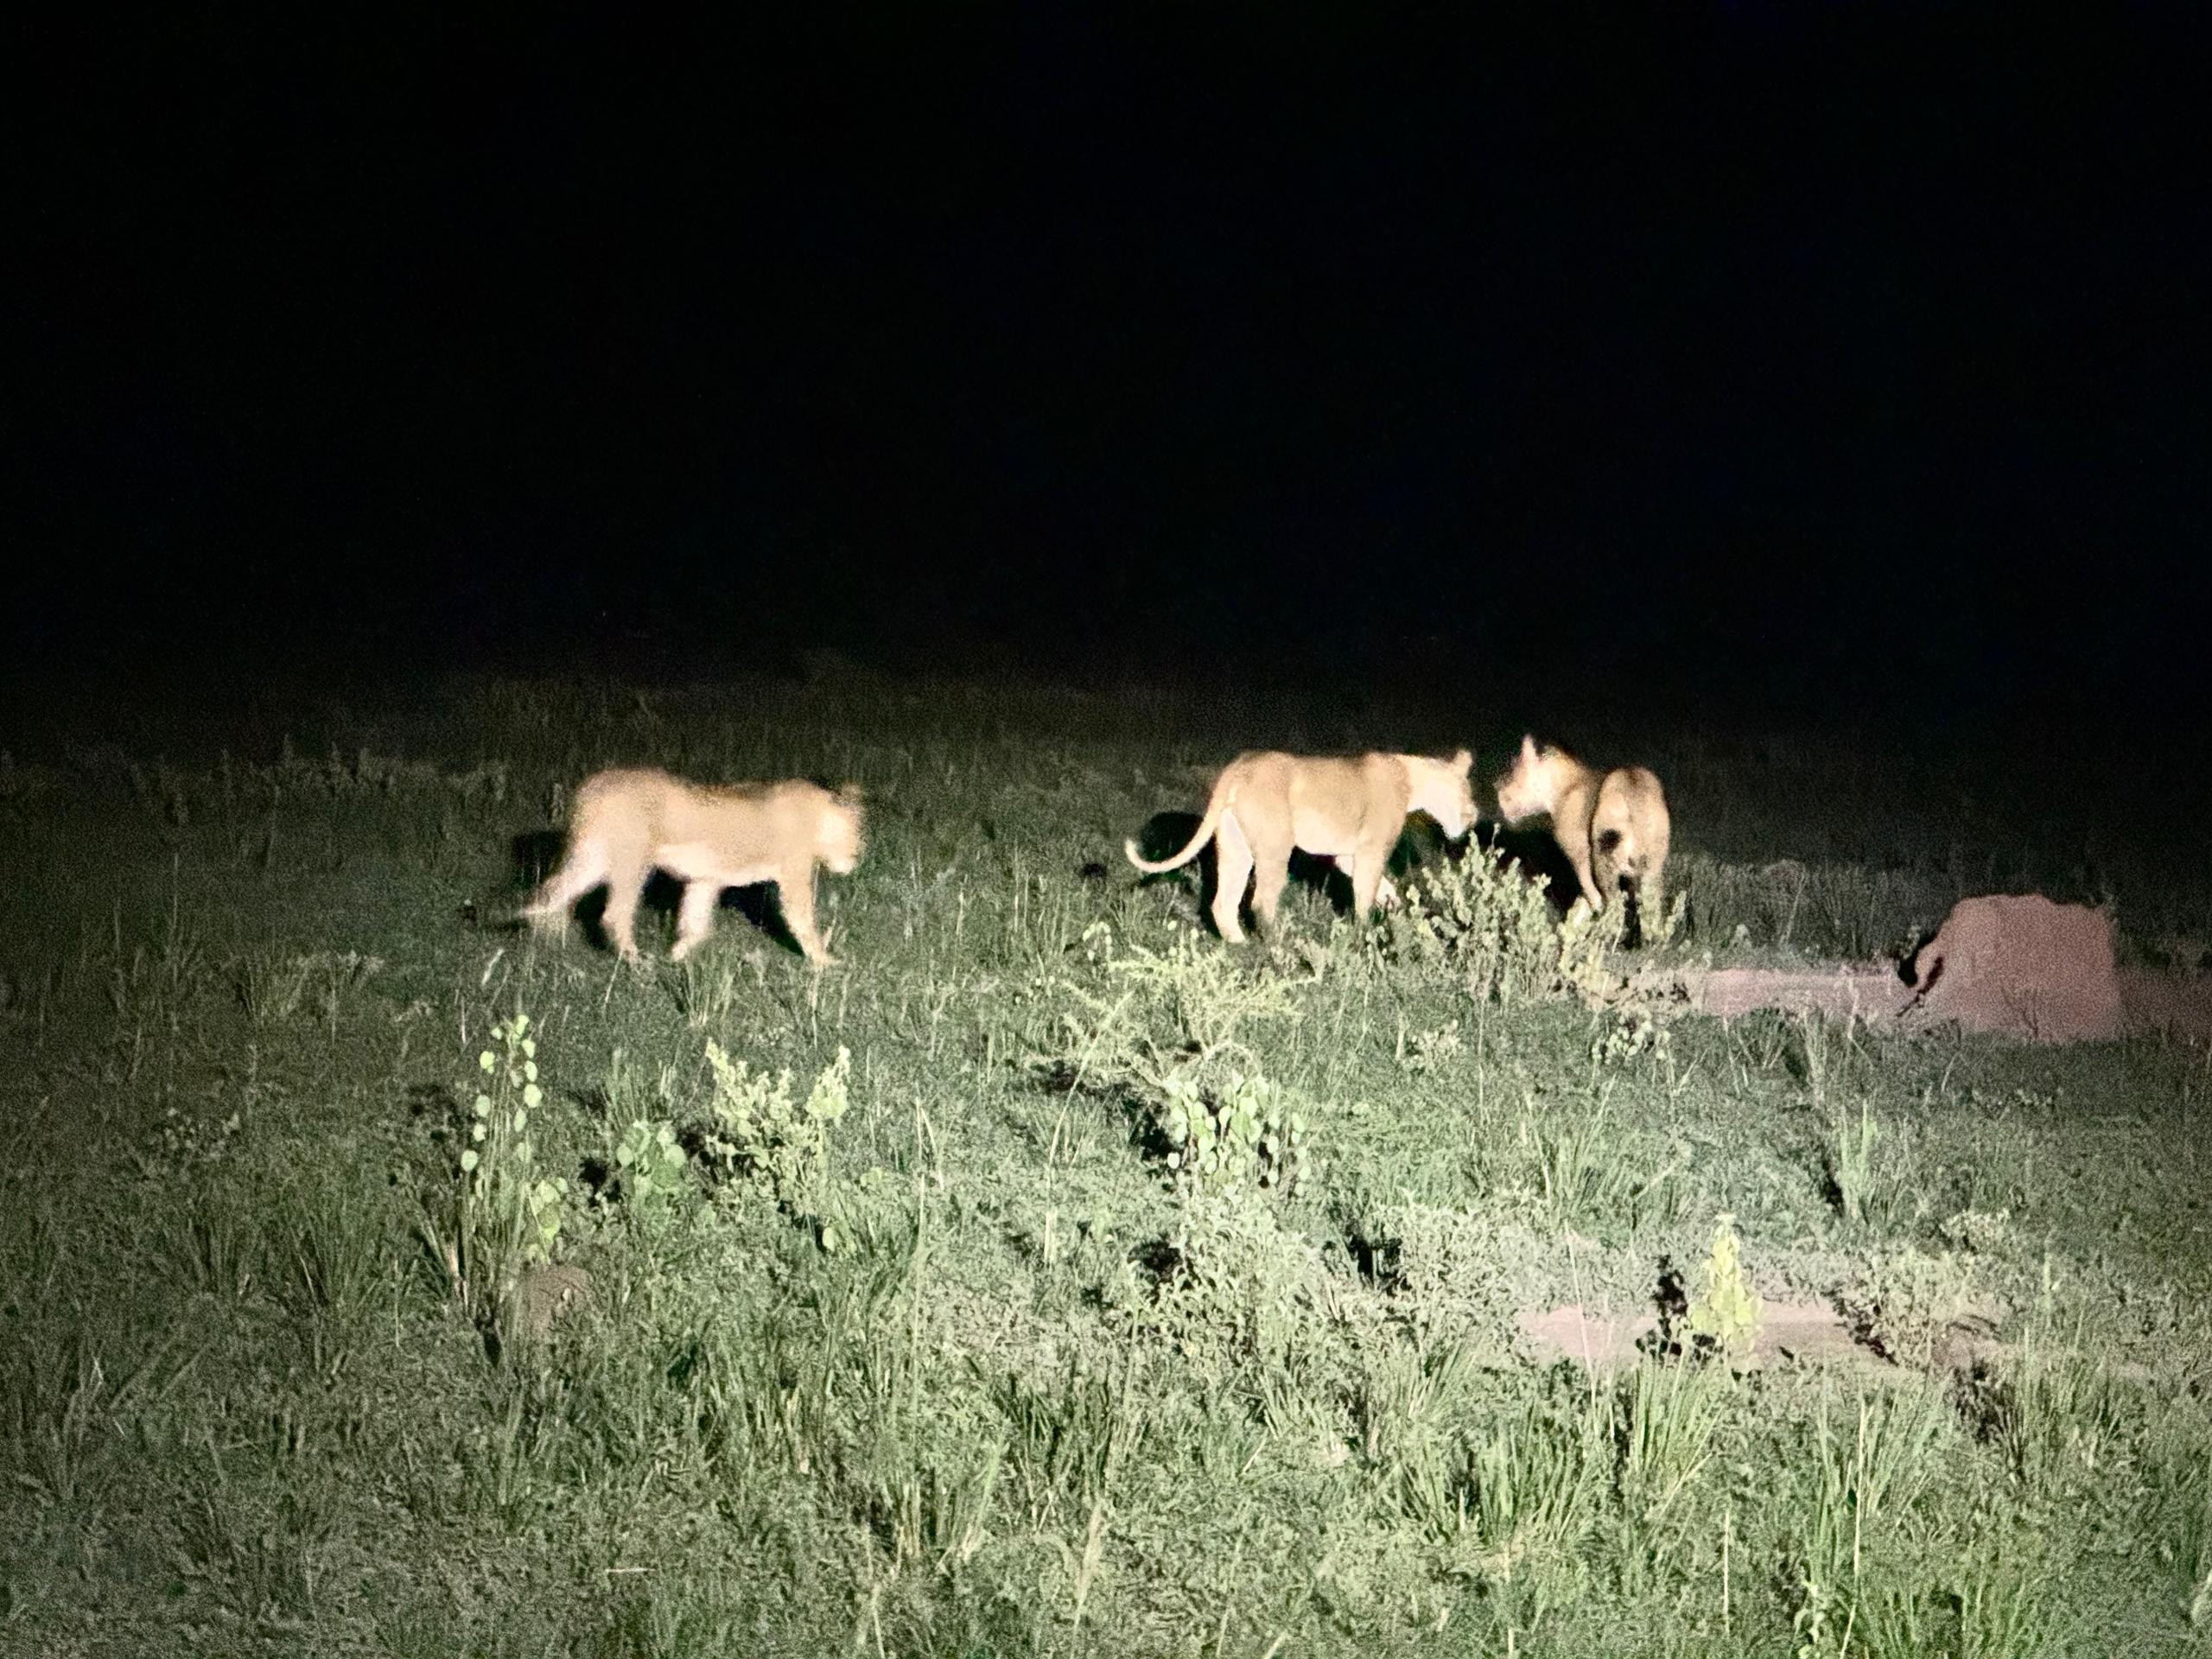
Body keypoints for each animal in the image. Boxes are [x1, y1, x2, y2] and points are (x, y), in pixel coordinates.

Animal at [521, 768, 864, 965]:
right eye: (858, 834)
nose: (856, 859)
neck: (818, 814)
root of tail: (592, 787)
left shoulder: (705, 880)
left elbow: (695, 922)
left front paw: (677, 956)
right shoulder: (794, 873)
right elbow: (802, 920)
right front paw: (827, 963)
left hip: (591, 857)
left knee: (552, 890)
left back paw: (540, 931)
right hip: (632, 861)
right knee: (615, 913)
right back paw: (637, 962)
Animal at [1124, 749, 1476, 942]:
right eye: (1466, 792)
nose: (1475, 816)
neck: (1413, 780)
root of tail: (1238, 767)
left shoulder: (1347, 856)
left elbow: (1385, 889)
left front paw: (1399, 912)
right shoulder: (1371, 850)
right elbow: (1366, 895)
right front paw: (1364, 934)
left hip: (1235, 847)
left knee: (1223, 903)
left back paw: (1239, 945)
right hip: (1275, 846)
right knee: (1260, 902)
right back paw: (1276, 946)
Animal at [1492, 735, 1669, 943]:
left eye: (1511, 775)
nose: (1496, 788)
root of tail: (1633, 789)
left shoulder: (1580, 856)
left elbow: (1589, 892)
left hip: (1604, 858)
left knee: (1616, 906)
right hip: (1652, 865)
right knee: (1651, 910)